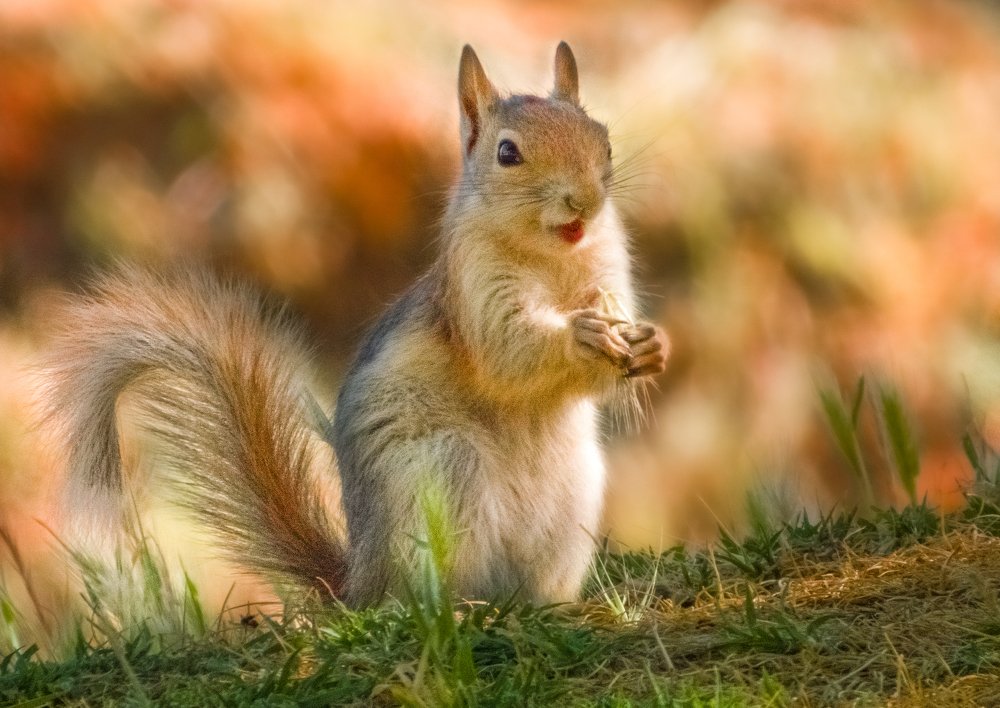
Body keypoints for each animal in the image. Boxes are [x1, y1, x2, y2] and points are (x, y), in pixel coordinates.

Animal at [42, 42, 668, 607]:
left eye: (603, 139)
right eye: (507, 153)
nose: (583, 201)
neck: (554, 258)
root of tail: (358, 584)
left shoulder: (608, 268)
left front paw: (651, 346)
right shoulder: (471, 290)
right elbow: (505, 353)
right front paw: (582, 335)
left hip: (573, 497)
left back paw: (555, 605)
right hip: (443, 472)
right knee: (423, 594)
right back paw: (456, 608)